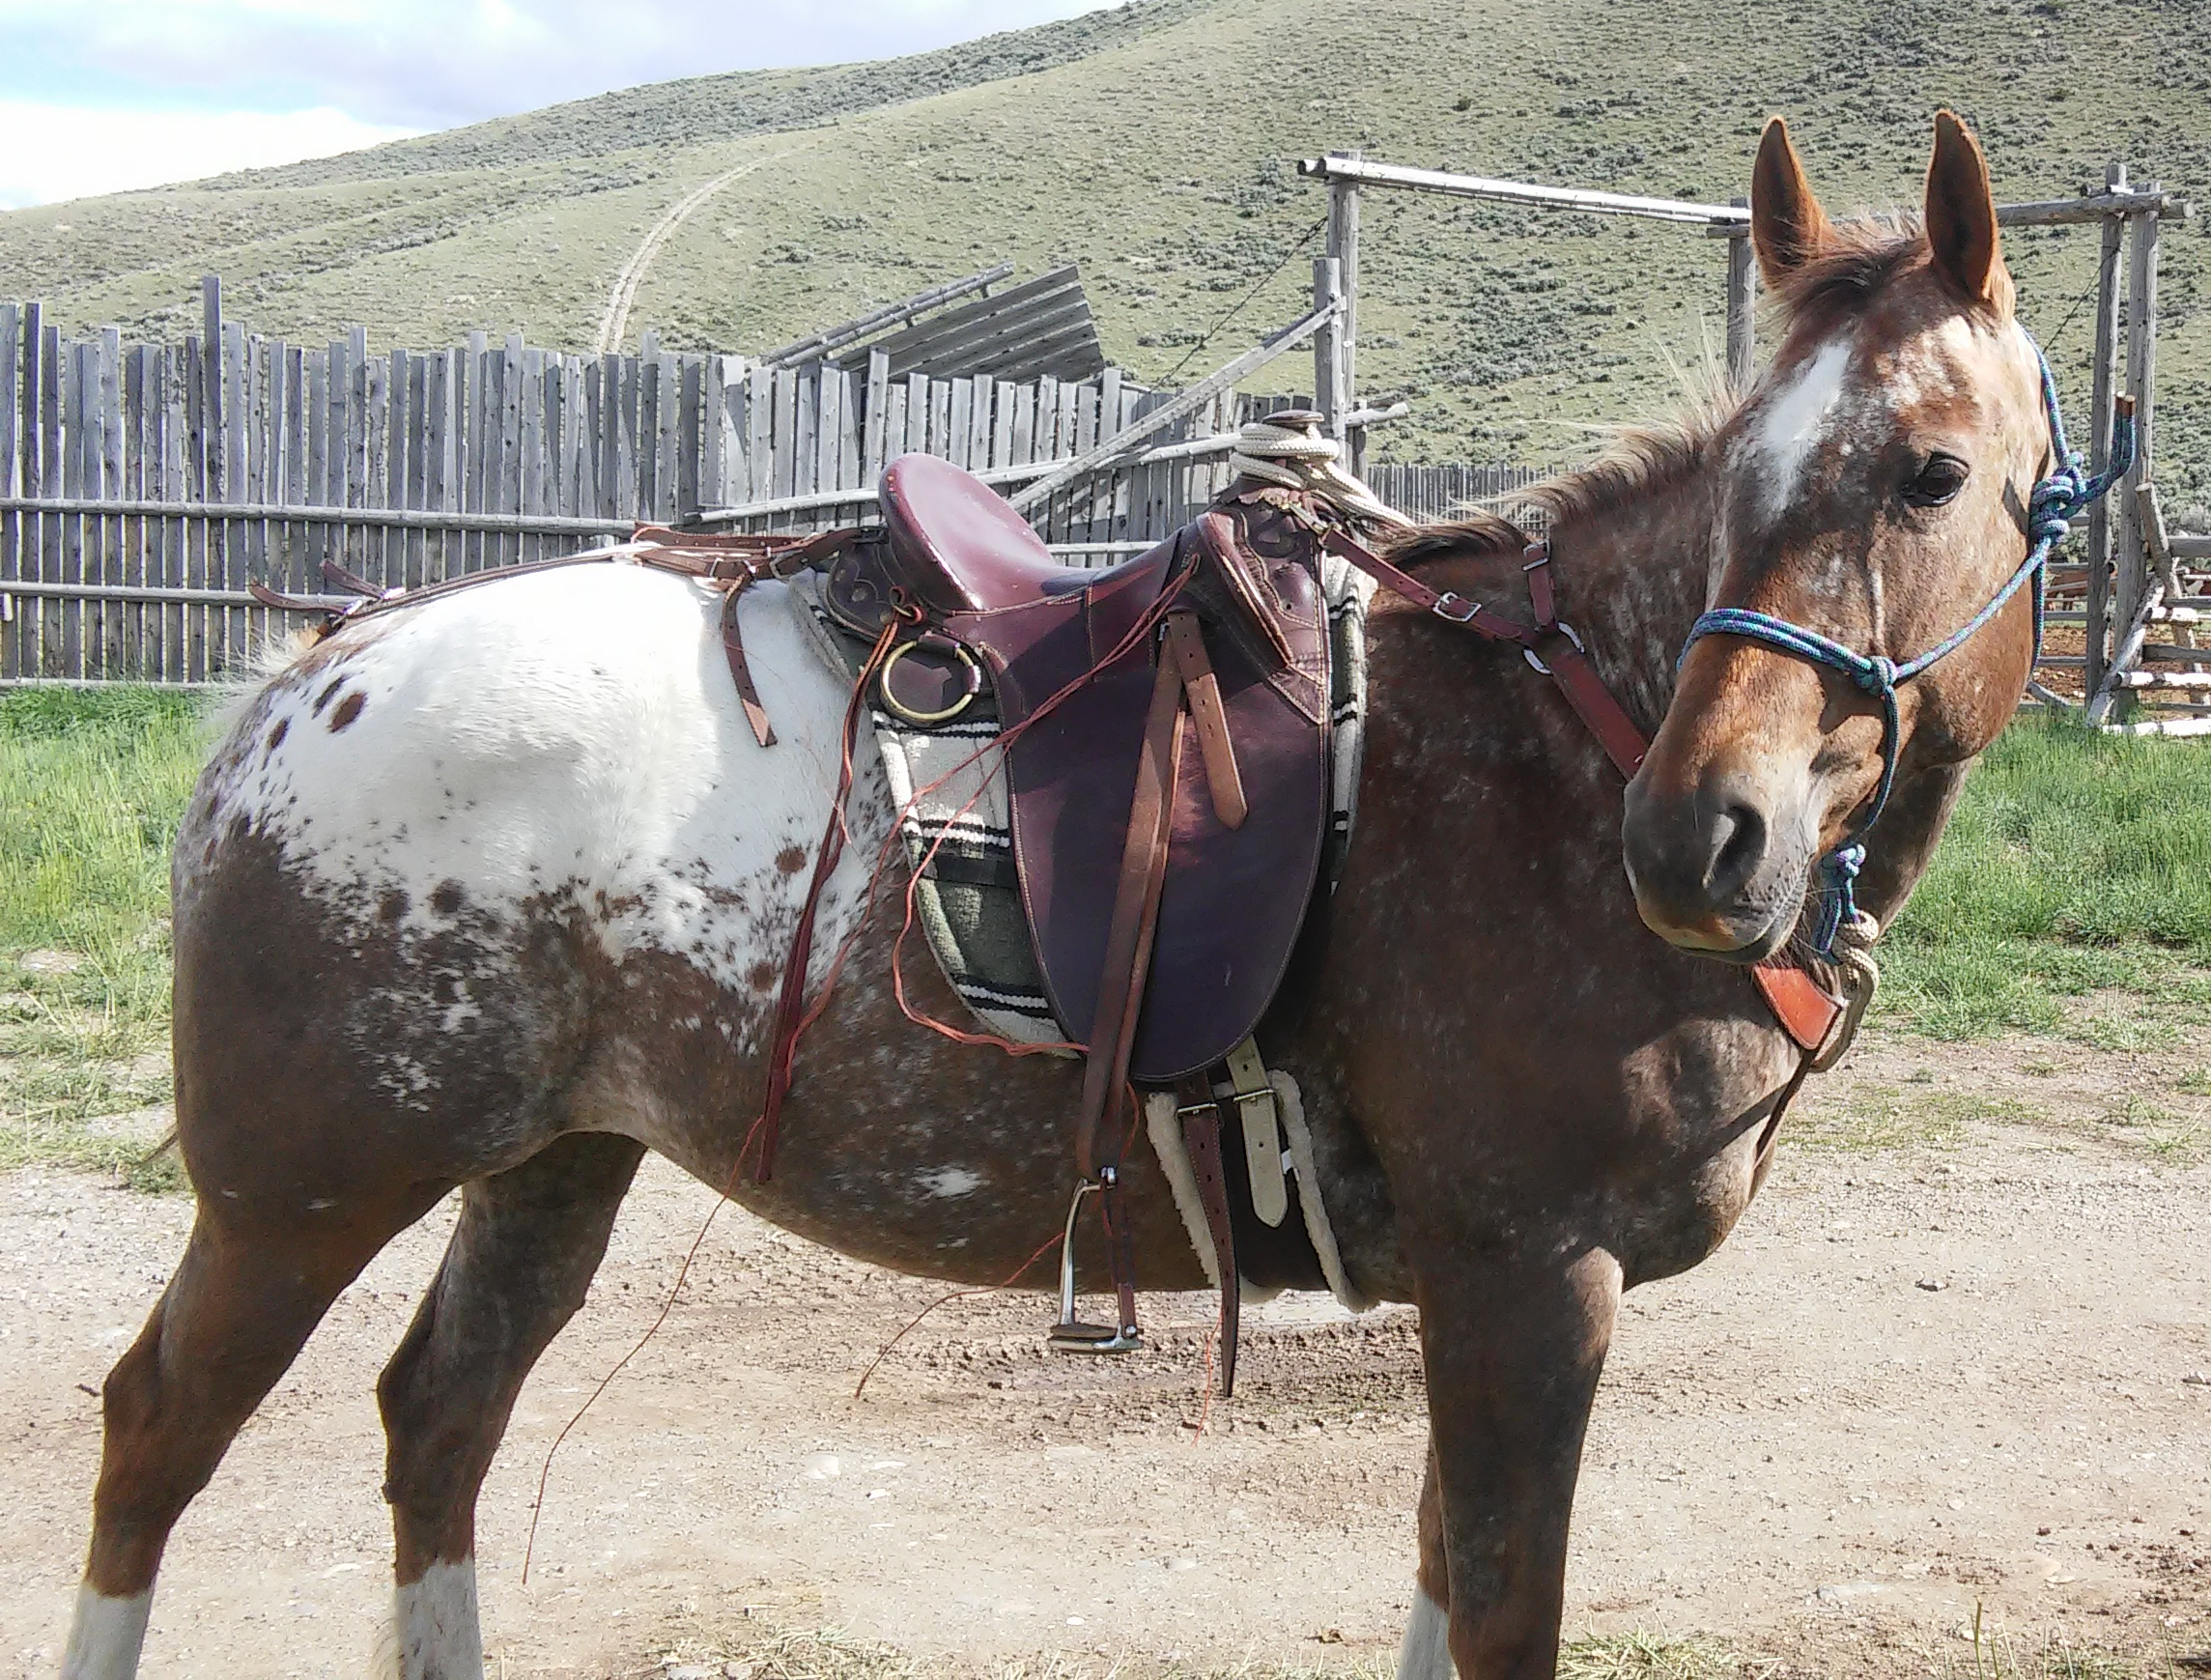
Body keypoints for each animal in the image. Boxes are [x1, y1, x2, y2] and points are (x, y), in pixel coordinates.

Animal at [58, 110, 2085, 1680]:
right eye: (1748, 470)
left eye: (1930, 471)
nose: (1698, 839)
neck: (1549, 747)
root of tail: (312, 673)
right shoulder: (1527, 1279)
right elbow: (1501, 1609)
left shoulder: (1484, 1288)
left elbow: (1444, 1586)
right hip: (301, 1195)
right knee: (155, 1431)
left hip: (548, 1161)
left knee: (438, 1421)